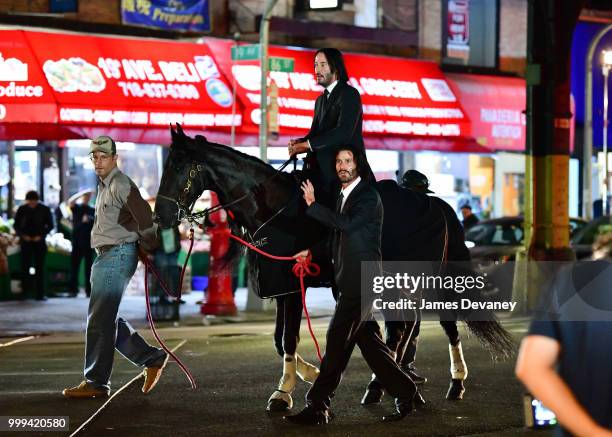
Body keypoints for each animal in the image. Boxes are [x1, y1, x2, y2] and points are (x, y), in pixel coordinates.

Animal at [153, 124, 512, 410]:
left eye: (180, 167)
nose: (160, 218)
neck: (274, 208)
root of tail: (435, 203)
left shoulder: (293, 286)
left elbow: (289, 339)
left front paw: (283, 392)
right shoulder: (282, 286)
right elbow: (279, 340)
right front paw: (309, 373)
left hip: (427, 278)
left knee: (435, 325)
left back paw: (450, 381)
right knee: (405, 328)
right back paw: (390, 385)